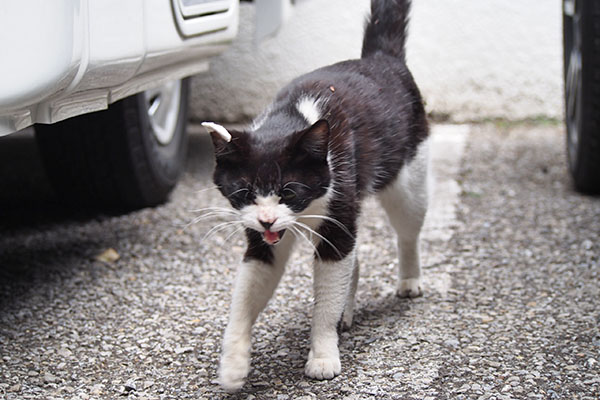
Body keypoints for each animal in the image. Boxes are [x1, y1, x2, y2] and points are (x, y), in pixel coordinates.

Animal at [204, 0, 428, 392]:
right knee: (354, 260)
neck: (289, 117)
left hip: (406, 177)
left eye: (289, 190)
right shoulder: (263, 242)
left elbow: (326, 297)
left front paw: (323, 356)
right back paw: (347, 313)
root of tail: (379, 57)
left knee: (406, 231)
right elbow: (246, 296)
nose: (267, 219)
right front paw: (233, 363)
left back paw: (409, 281)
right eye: (244, 191)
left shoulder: (337, 214)